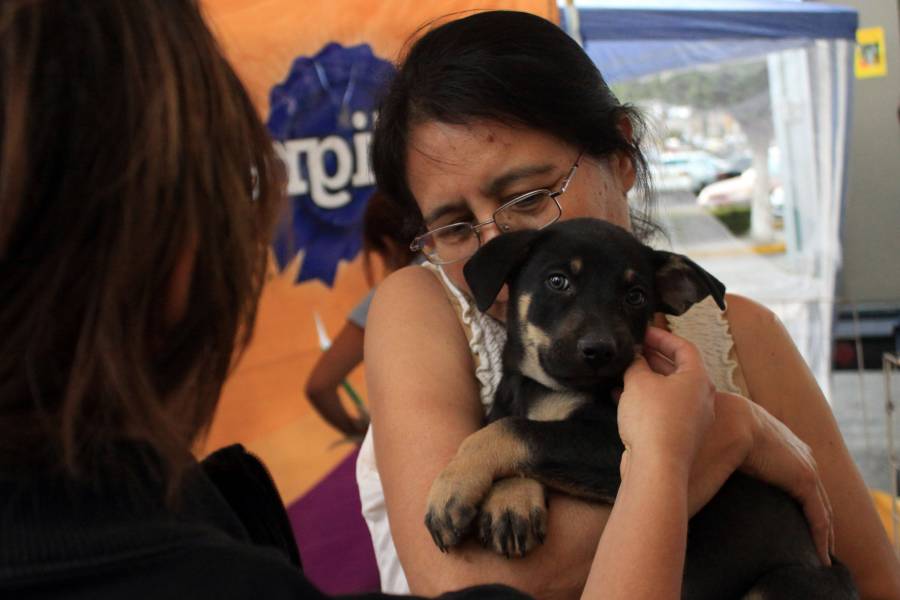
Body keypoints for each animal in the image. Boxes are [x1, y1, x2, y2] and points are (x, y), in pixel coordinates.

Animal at [424, 219, 856, 600]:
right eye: (557, 281)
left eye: (636, 296)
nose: (599, 352)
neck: (542, 387)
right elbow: (508, 426)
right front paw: (510, 501)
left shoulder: (616, 448)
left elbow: (517, 431)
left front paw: (452, 487)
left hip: (782, 583)